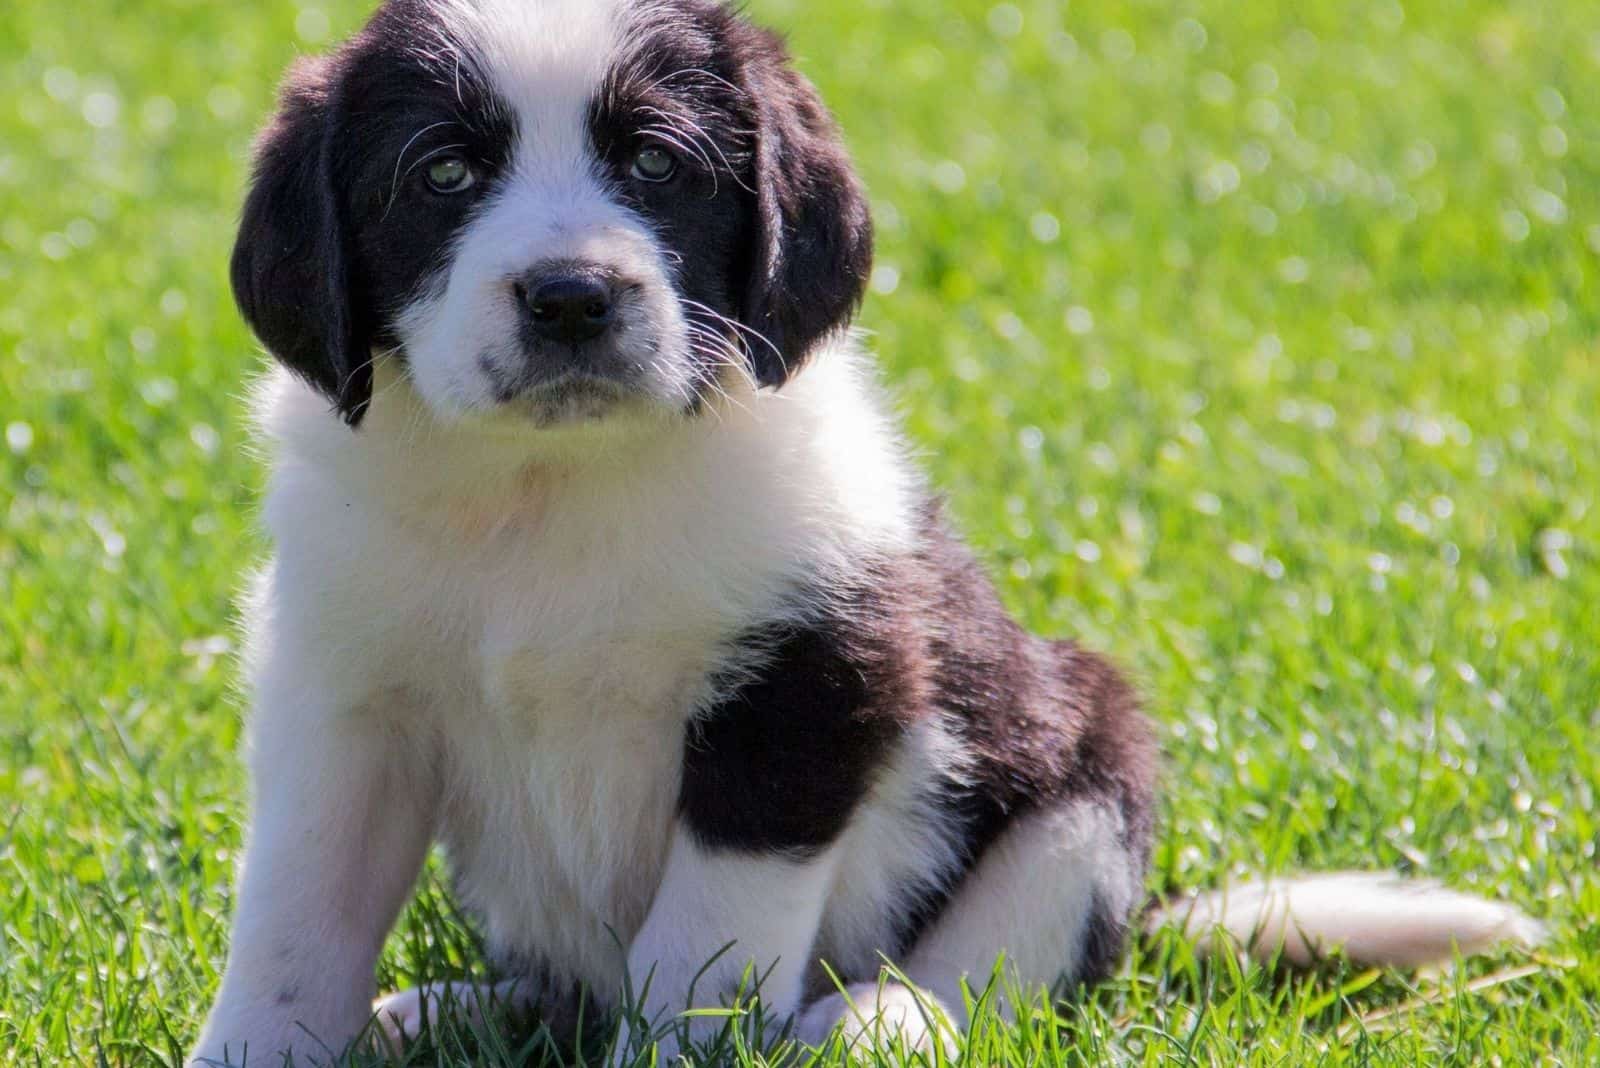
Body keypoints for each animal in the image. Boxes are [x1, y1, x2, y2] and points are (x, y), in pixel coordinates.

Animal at [184, 2, 1536, 1068]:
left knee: (1000, 961)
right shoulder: (342, 699)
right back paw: (454, 1011)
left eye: (659, 166)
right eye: (441, 177)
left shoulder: (813, 682)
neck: (549, 488)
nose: (571, 296)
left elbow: (704, 944)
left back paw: (883, 1024)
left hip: (1083, 755)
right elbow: (297, 920)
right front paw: (259, 1049)